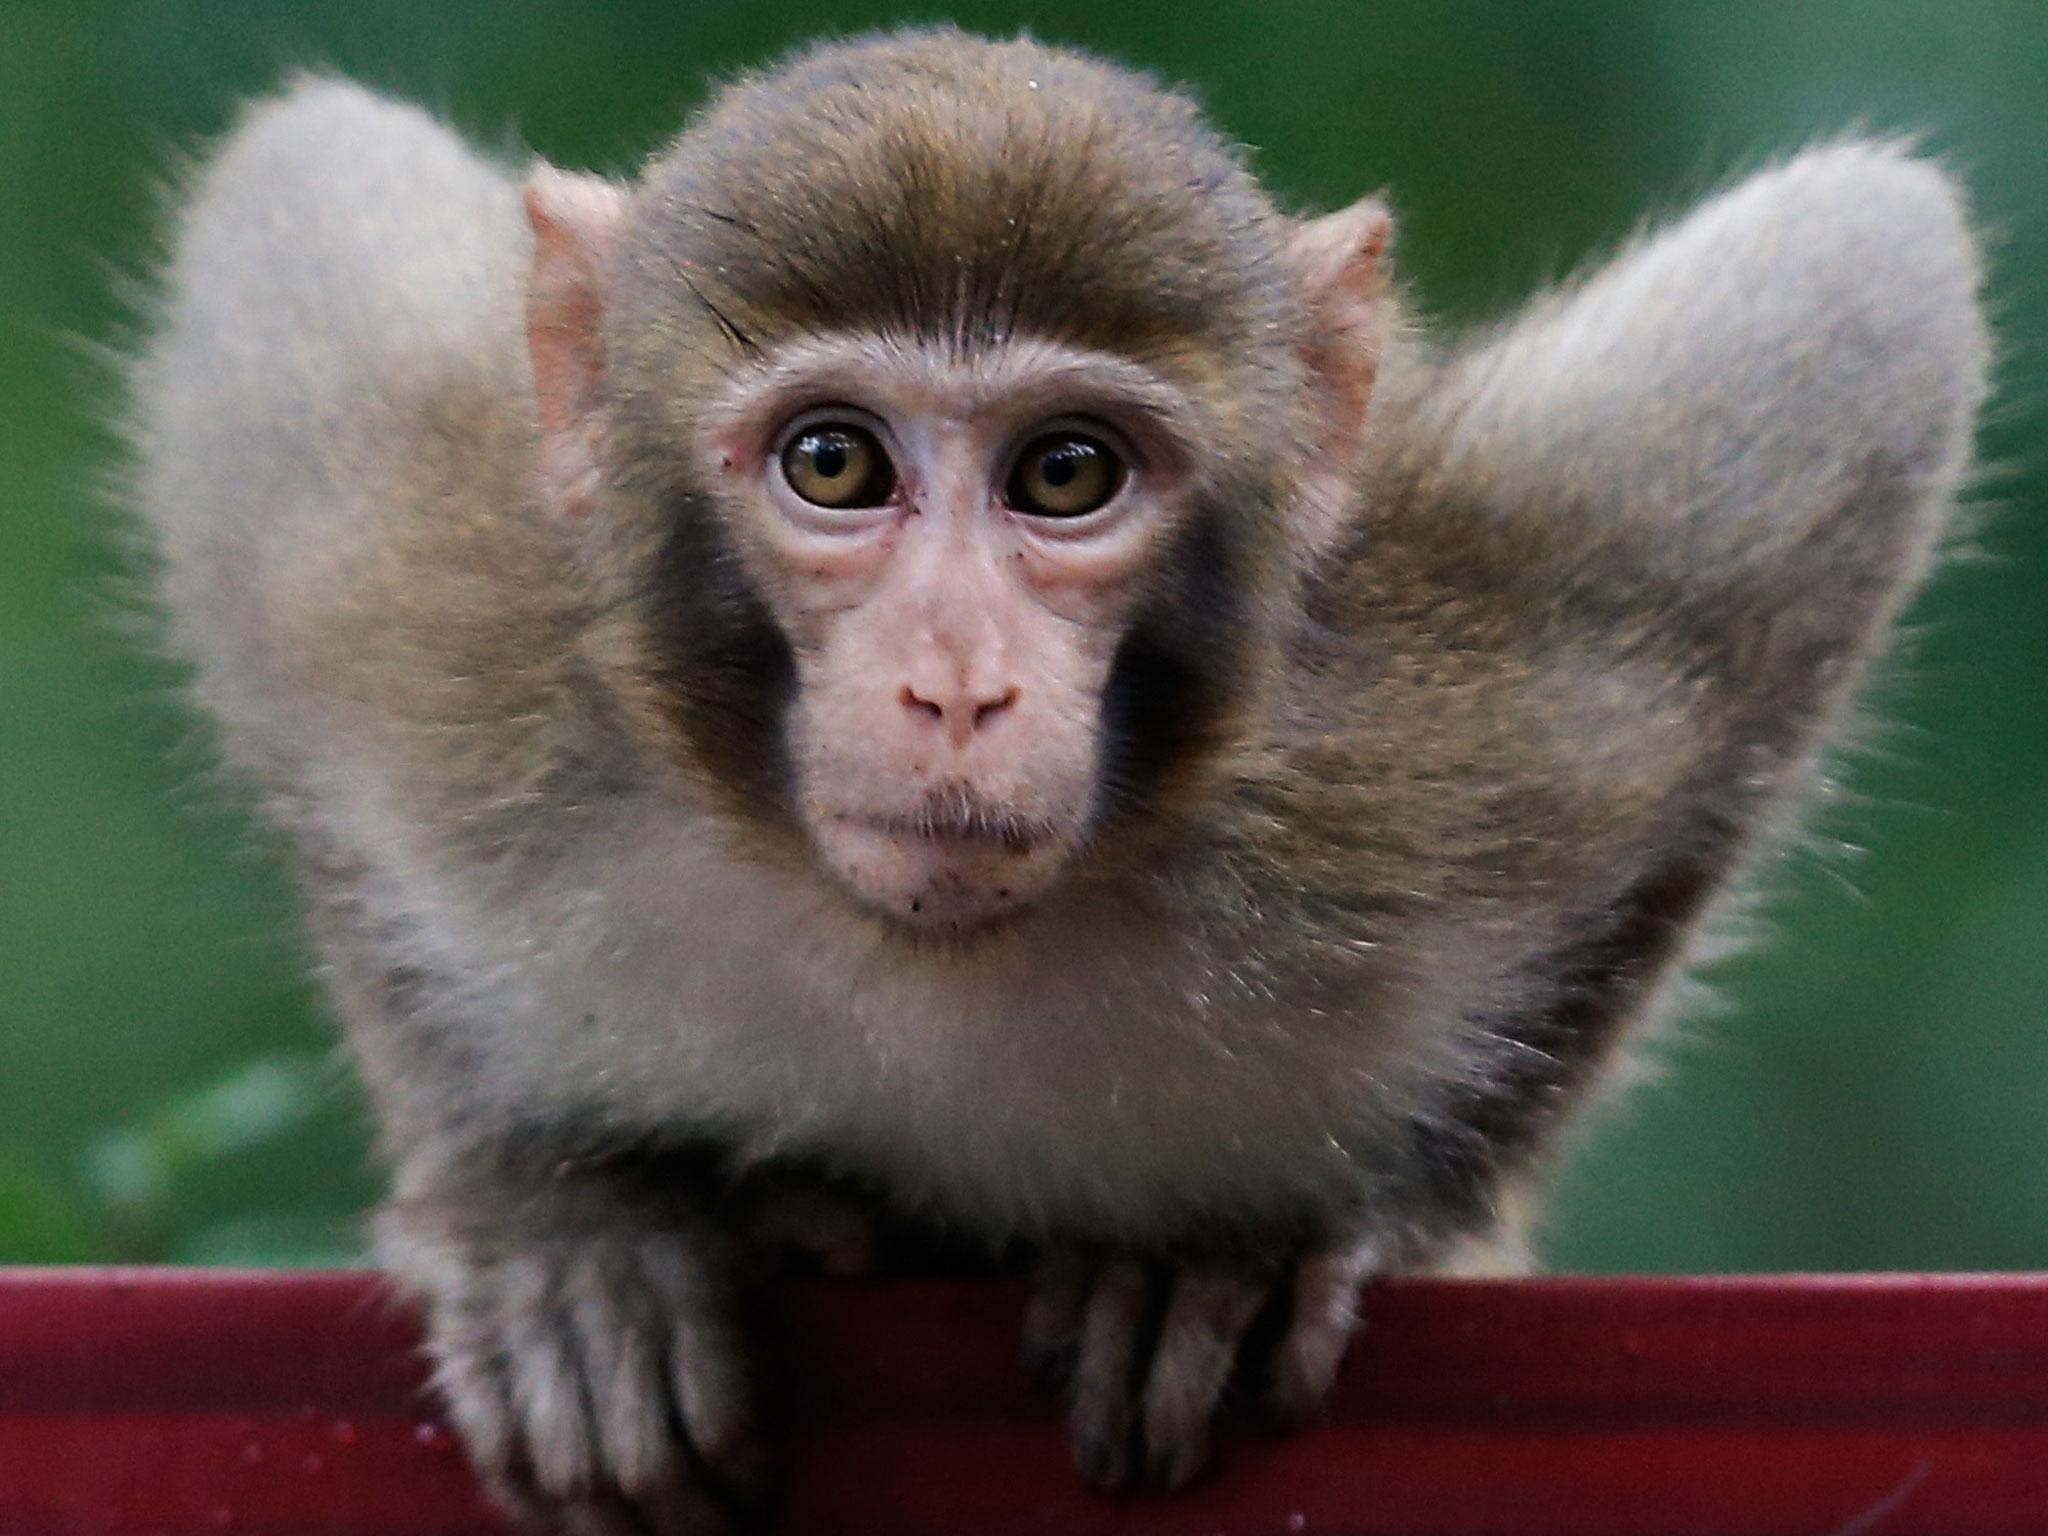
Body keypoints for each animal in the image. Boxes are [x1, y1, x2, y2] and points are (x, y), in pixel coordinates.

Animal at [128, 27, 1982, 1536]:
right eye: (833, 462)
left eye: (1066, 474)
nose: (956, 686)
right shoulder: (424, 615)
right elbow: (289, 221)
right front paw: (551, 1213)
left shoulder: (1521, 699)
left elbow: (1870, 292)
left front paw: (1241, 1242)